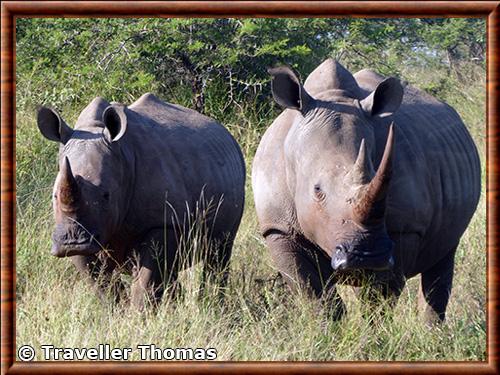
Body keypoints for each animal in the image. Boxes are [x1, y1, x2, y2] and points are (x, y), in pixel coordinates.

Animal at [38, 94, 245, 308]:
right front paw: (116, 311)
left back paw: (212, 305)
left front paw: (138, 314)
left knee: (219, 252)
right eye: (55, 196)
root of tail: (225, 132)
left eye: (106, 195)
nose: (72, 242)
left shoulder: (162, 223)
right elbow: (101, 283)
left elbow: (147, 279)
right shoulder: (81, 227)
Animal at [254, 60, 480, 324]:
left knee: (443, 257)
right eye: (317, 191)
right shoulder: (279, 228)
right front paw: (329, 331)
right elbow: (316, 296)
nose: (367, 255)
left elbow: (378, 300)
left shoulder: (405, 230)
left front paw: (372, 333)